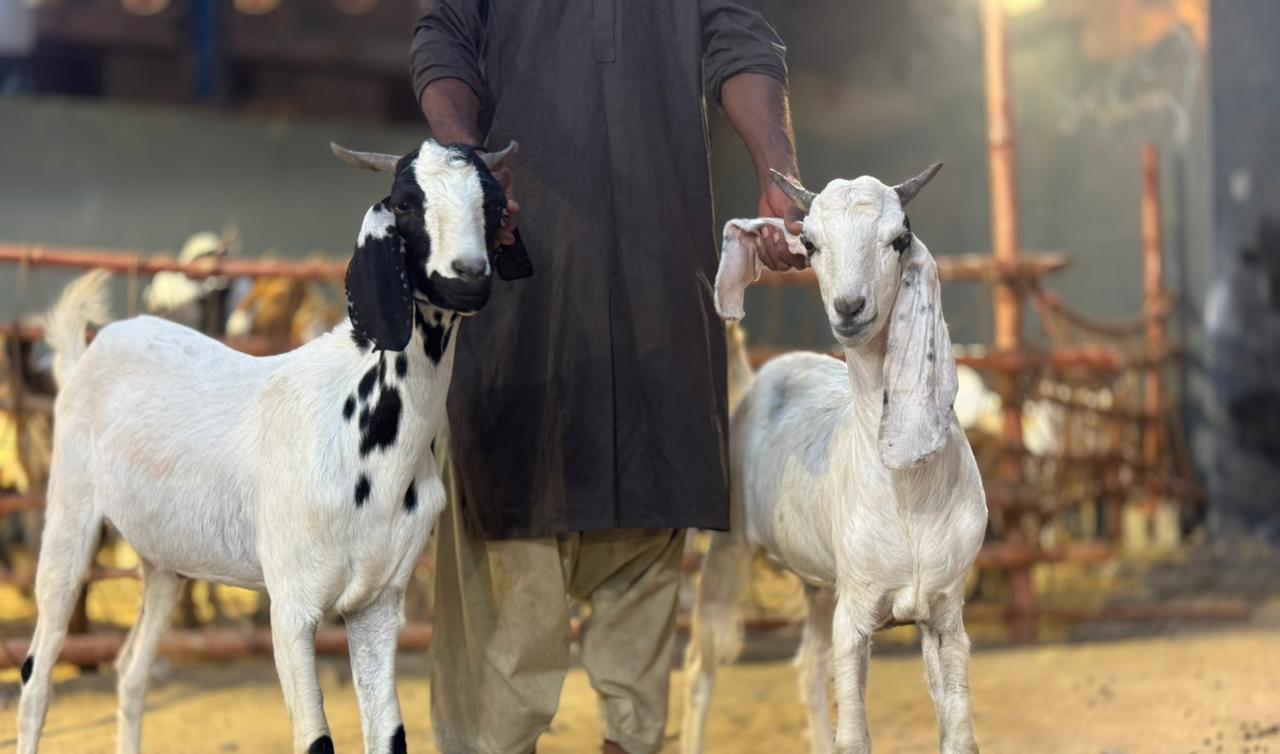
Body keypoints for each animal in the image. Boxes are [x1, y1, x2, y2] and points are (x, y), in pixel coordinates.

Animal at [15, 139, 519, 754]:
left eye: (494, 204)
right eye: (404, 202)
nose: (468, 277)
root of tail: (85, 355)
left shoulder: (379, 603)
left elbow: (390, 736)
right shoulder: (292, 607)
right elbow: (316, 740)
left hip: (163, 559)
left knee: (131, 669)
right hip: (70, 515)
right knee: (38, 676)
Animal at [682, 165, 987, 754]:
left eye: (899, 238)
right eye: (810, 242)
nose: (849, 307)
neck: (907, 496)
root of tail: (755, 383)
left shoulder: (944, 613)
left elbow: (960, 735)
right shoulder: (857, 615)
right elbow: (855, 738)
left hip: (820, 584)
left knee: (807, 667)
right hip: (729, 553)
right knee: (701, 669)